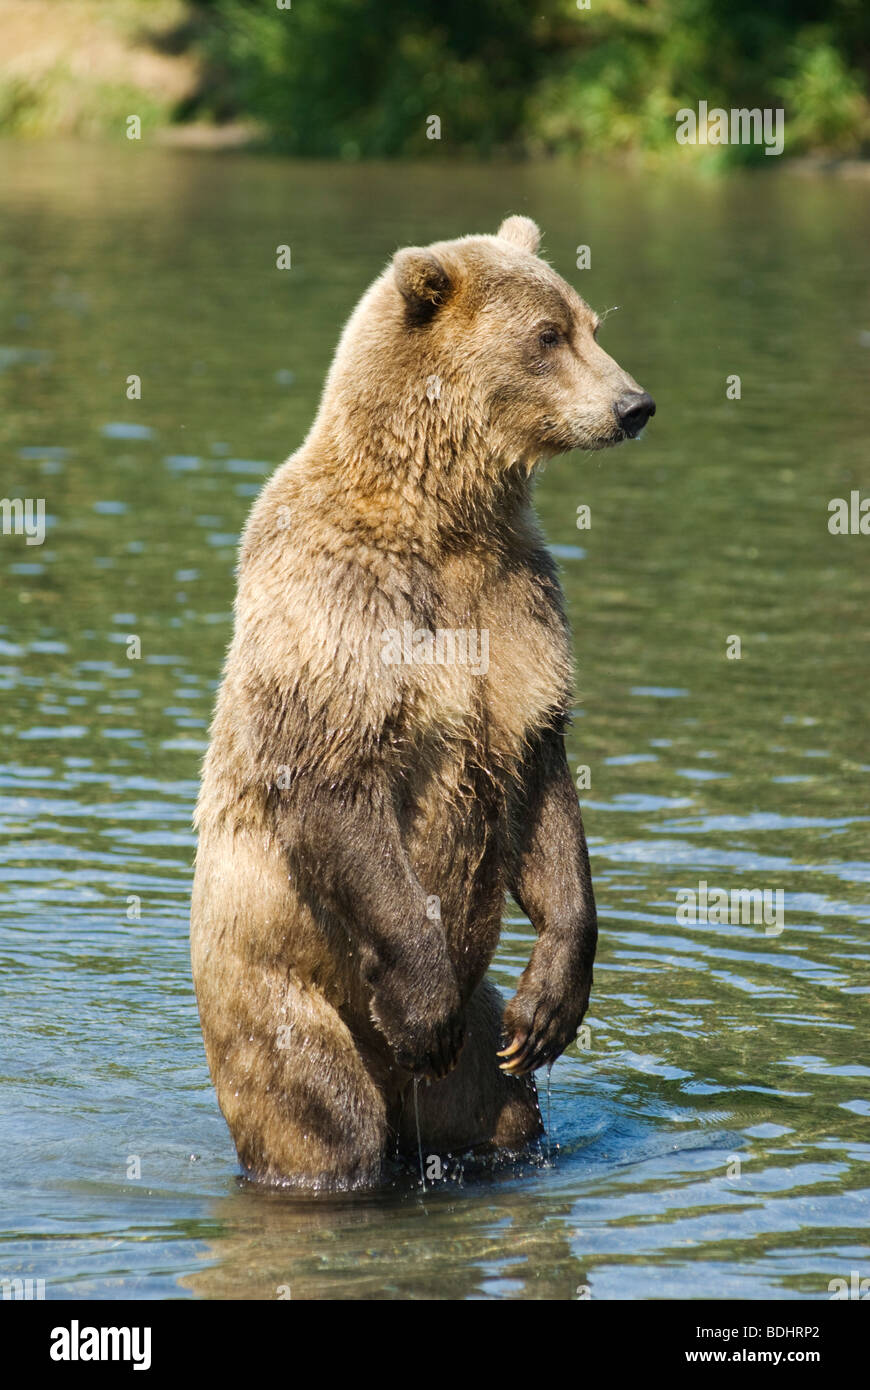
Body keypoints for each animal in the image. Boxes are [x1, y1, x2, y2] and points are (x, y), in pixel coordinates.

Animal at [189, 214, 650, 1184]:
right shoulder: (345, 601)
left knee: (504, 1113)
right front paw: (423, 1012)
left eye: (589, 321)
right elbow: (334, 777)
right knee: (327, 1124)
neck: (442, 512)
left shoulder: (518, 602)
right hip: (274, 997)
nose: (634, 405)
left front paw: (551, 1005)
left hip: (478, 1069)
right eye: (547, 336)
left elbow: (540, 775)